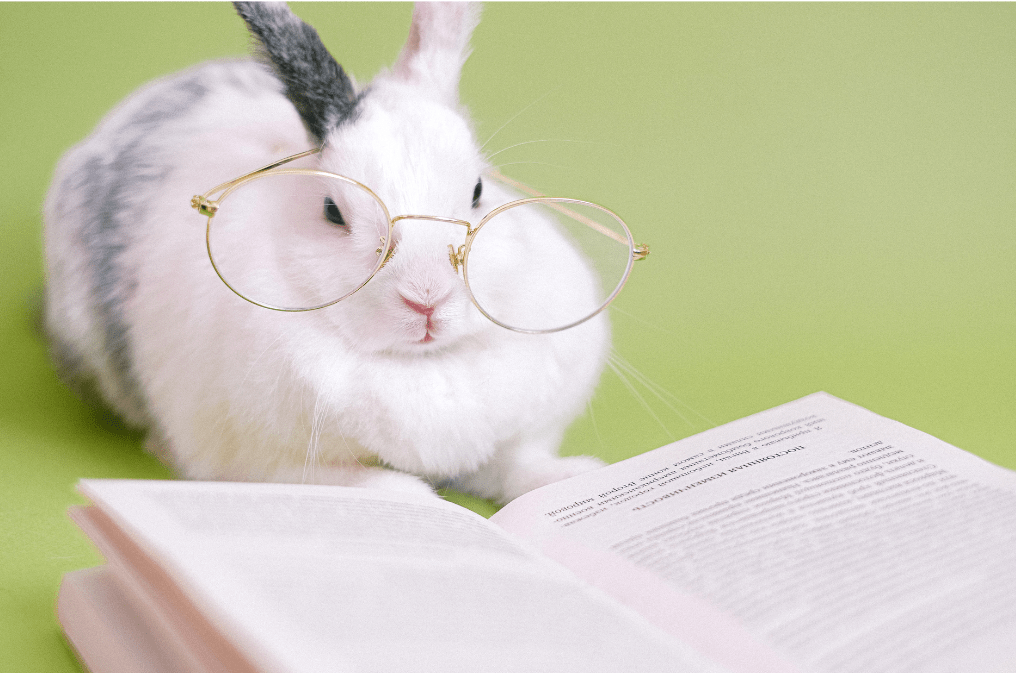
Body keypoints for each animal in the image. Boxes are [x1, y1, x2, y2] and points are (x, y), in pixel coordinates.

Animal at [43, 1, 610, 504]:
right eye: (333, 211)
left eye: (477, 191)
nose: (427, 298)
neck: (419, 365)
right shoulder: (260, 461)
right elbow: (350, 482)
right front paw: (413, 496)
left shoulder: (512, 440)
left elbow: (517, 466)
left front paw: (577, 476)